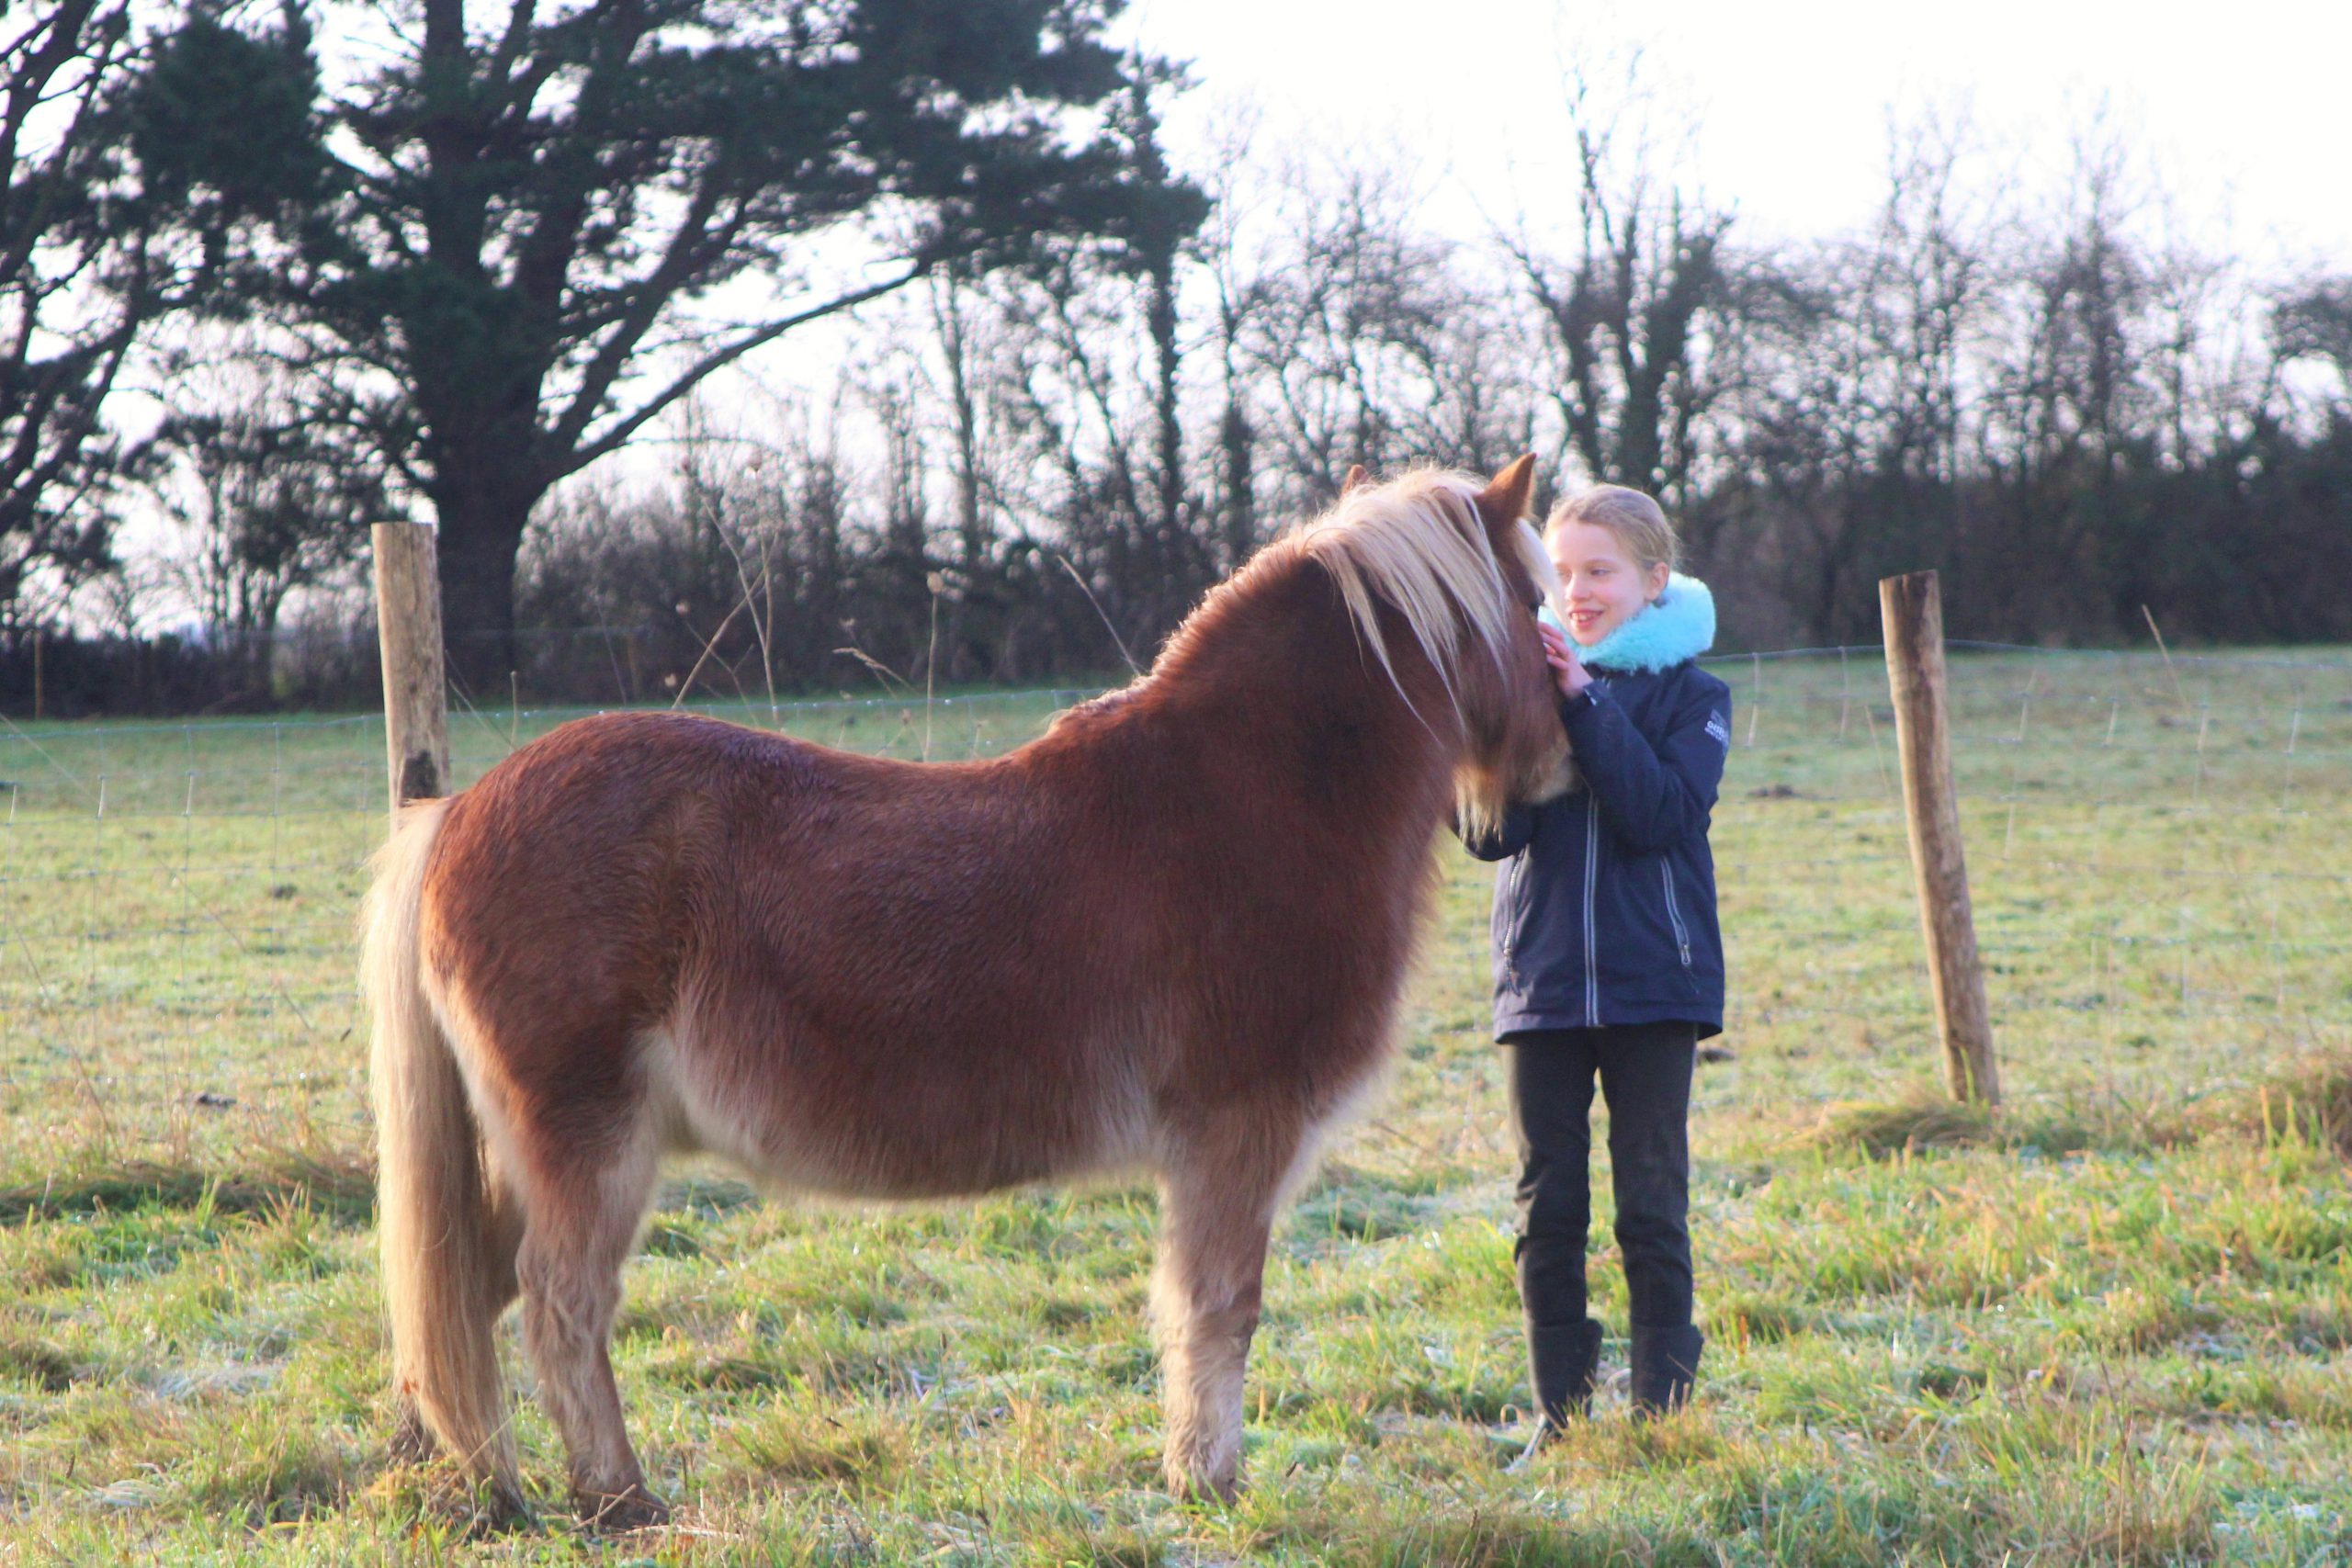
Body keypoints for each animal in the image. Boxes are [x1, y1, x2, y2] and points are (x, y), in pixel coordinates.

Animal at [361, 456, 1573, 1527]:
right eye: (1532, 604)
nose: (1560, 767)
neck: (1250, 793)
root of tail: (455, 813)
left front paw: (1194, 1476)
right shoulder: (1236, 1134)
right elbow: (1218, 1312)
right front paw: (1211, 1485)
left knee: (462, 1300)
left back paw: (483, 1488)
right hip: (586, 1142)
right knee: (560, 1308)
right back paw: (618, 1502)